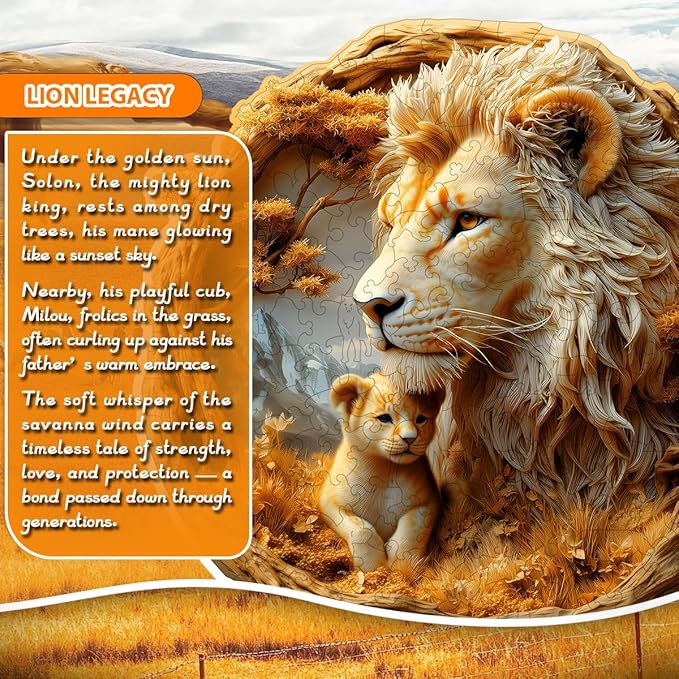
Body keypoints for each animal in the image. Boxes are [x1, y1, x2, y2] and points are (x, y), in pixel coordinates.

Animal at [319, 372, 443, 571]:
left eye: (421, 419)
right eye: (384, 418)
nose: (410, 438)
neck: (385, 472)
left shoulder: (428, 502)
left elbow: (410, 530)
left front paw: (403, 567)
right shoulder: (328, 501)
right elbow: (361, 528)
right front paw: (373, 566)